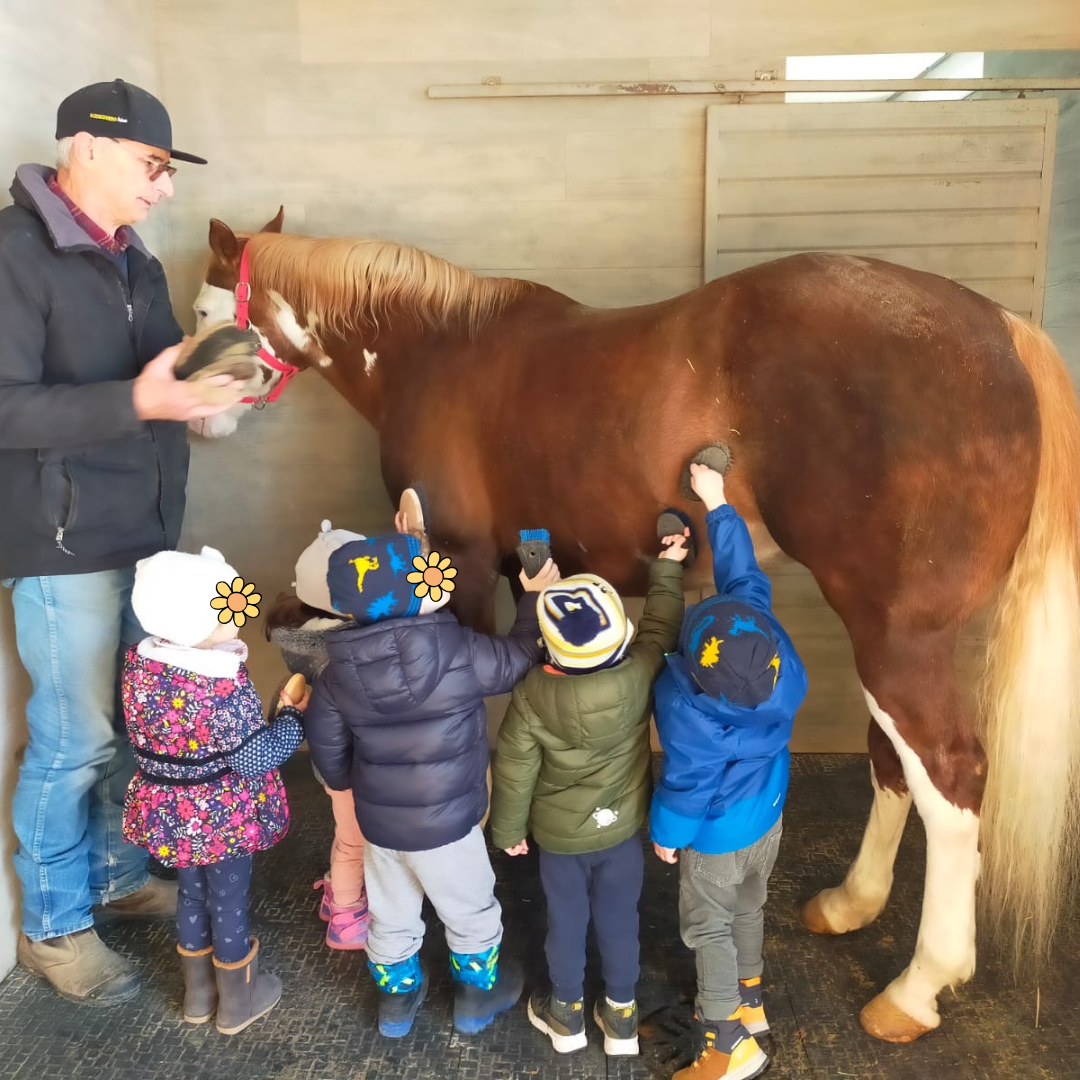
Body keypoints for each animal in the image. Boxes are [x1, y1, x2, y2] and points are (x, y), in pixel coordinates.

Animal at [193, 208, 1080, 1045]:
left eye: (205, 308)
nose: (196, 420)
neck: (437, 349)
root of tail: (1002, 329)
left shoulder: (464, 567)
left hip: (899, 640)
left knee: (949, 780)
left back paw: (917, 987)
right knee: (893, 762)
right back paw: (852, 902)